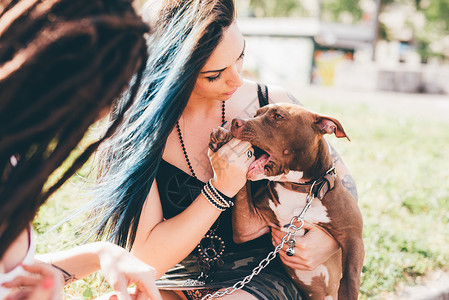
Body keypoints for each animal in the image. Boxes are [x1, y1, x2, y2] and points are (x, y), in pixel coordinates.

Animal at [210, 103, 364, 300]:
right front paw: (222, 140)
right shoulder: (247, 226)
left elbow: (350, 280)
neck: (300, 189)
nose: (236, 121)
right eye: (256, 113)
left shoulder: (353, 238)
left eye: (278, 116)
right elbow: (242, 188)